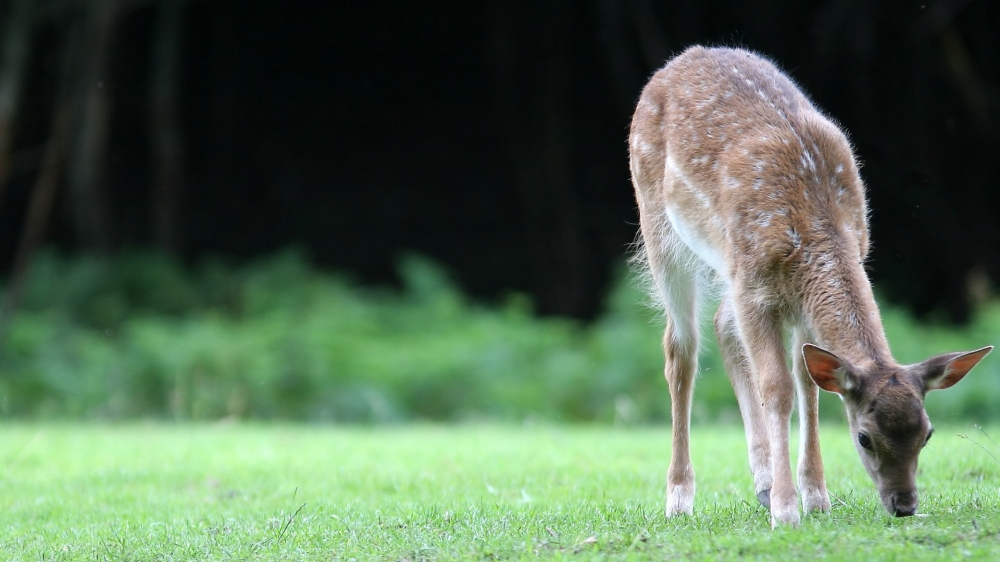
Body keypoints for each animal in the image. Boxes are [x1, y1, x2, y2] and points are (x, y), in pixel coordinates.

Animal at [628, 46, 988, 528]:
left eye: (927, 434)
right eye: (864, 437)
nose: (905, 505)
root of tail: (679, 60)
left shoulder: (795, 297)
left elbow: (809, 382)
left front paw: (816, 496)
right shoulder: (755, 286)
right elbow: (778, 389)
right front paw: (786, 510)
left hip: (725, 266)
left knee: (722, 324)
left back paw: (760, 483)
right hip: (659, 225)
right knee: (680, 349)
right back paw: (679, 498)